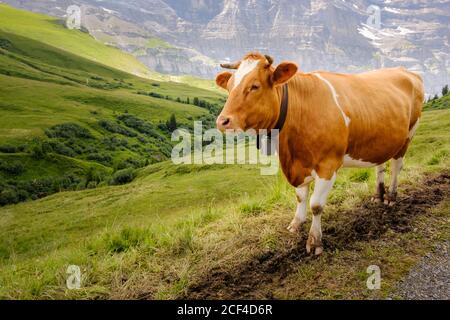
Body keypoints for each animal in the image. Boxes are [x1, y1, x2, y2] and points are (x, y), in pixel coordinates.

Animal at [216, 52, 424, 255]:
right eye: (229, 87)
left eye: (255, 86)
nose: (222, 121)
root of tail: (406, 71)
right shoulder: (299, 166)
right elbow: (300, 197)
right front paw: (296, 224)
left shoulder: (328, 166)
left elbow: (316, 205)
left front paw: (315, 241)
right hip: (381, 138)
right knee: (380, 164)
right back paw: (378, 195)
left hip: (408, 135)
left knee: (396, 166)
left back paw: (390, 197)